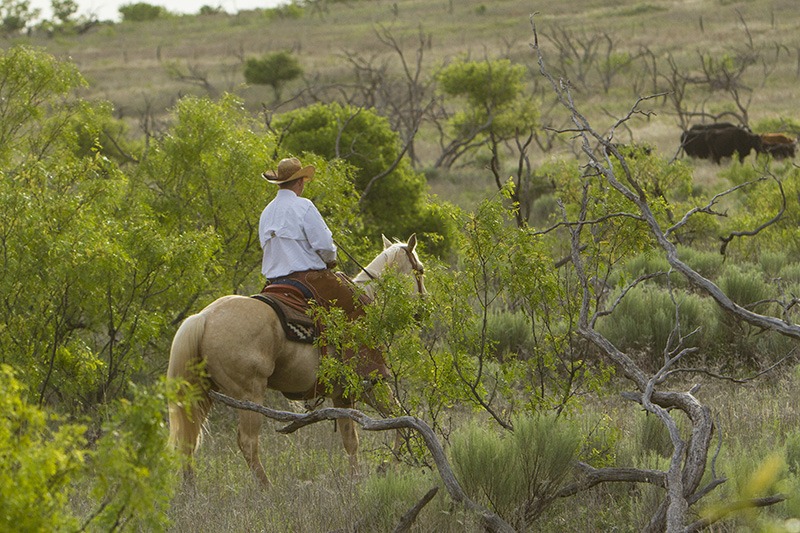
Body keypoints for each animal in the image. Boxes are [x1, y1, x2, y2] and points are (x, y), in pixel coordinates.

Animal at [167, 234, 425, 486]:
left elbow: (360, 435)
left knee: (188, 442)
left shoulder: (347, 394)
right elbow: (395, 420)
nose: (421, 310)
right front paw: (382, 468)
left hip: (201, 393)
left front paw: (363, 477)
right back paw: (267, 488)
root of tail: (203, 318)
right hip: (249, 394)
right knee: (248, 442)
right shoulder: (367, 386)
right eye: (420, 270)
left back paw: (191, 490)